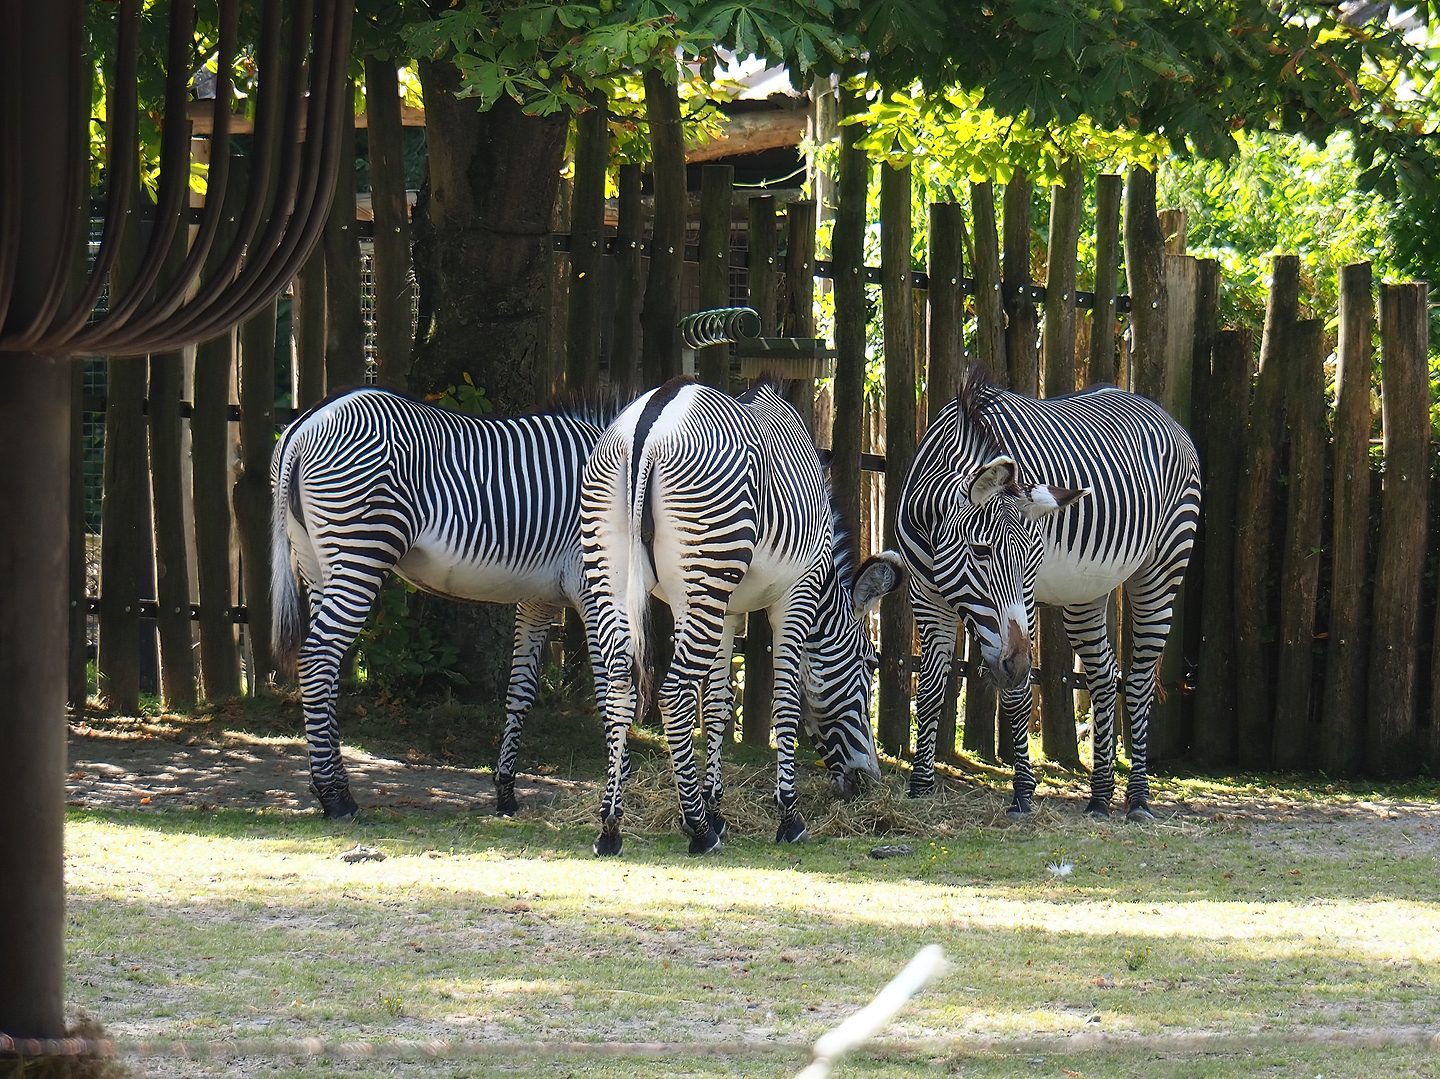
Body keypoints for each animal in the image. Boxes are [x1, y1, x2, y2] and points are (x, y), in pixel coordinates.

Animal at [270, 387, 615, 820]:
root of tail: (308, 421)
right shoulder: (591, 588)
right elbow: (612, 689)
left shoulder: (539, 601)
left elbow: (521, 691)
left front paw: (506, 793)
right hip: (361, 549)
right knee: (318, 658)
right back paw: (335, 798)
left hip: (316, 562)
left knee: (327, 667)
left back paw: (336, 786)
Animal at [582, 376, 904, 856]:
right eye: (868, 665)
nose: (868, 781)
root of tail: (652, 420)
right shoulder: (795, 597)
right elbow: (785, 703)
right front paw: (787, 818)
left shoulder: (728, 610)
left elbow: (718, 704)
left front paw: (716, 809)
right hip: (704, 572)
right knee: (673, 694)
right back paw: (698, 832)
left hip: (615, 574)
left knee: (619, 688)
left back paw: (611, 827)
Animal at [896, 367, 1201, 821]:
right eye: (981, 551)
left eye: (1033, 559)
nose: (1016, 664)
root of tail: (1161, 412)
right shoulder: (926, 597)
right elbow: (932, 691)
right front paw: (919, 787)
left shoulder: (1027, 600)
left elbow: (1020, 695)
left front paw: (1023, 793)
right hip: (1086, 593)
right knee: (1103, 674)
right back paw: (1099, 798)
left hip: (1162, 568)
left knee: (1140, 680)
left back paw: (1138, 800)